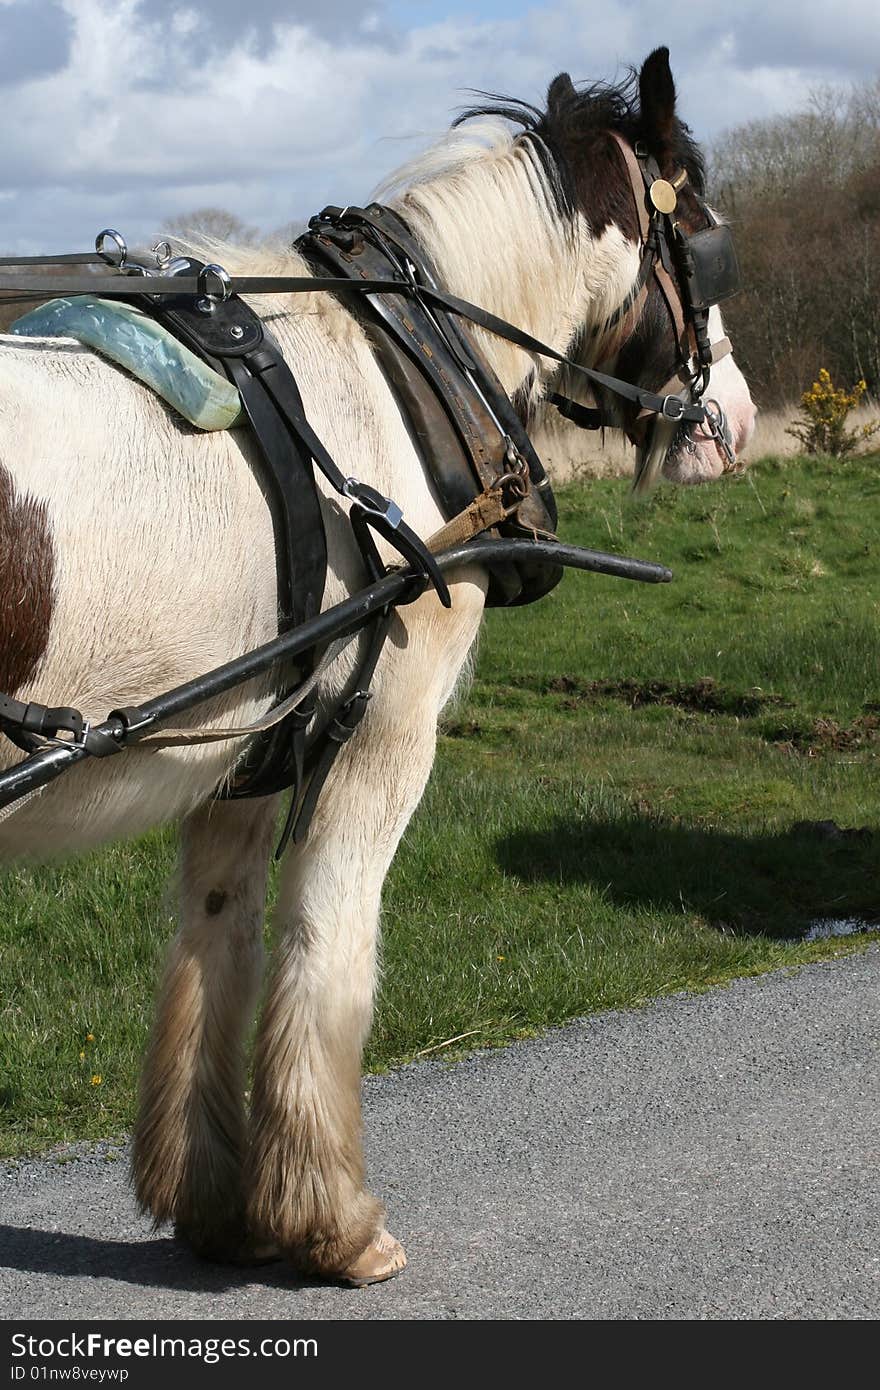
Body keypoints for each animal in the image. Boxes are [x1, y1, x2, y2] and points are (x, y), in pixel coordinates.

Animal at [0, 46, 756, 1278]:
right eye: (701, 233)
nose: (732, 415)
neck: (394, 364)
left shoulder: (246, 752)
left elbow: (218, 942)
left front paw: (215, 1202)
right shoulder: (383, 732)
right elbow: (330, 945)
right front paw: (334, 1220)